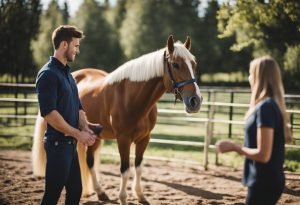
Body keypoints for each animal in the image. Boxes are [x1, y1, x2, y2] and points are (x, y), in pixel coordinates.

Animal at [32, 35, 202, 205]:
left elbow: (138, 167)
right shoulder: (123, 139)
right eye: (175, 64)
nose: (195, 101)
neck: (132, 98)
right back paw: (100, 192)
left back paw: (100, 193)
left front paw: (140, 195)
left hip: (96, 136)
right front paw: (123, 198)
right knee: (88, 162)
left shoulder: (144, 139)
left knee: (89, 161)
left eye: (194, 64)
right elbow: (125, 169)